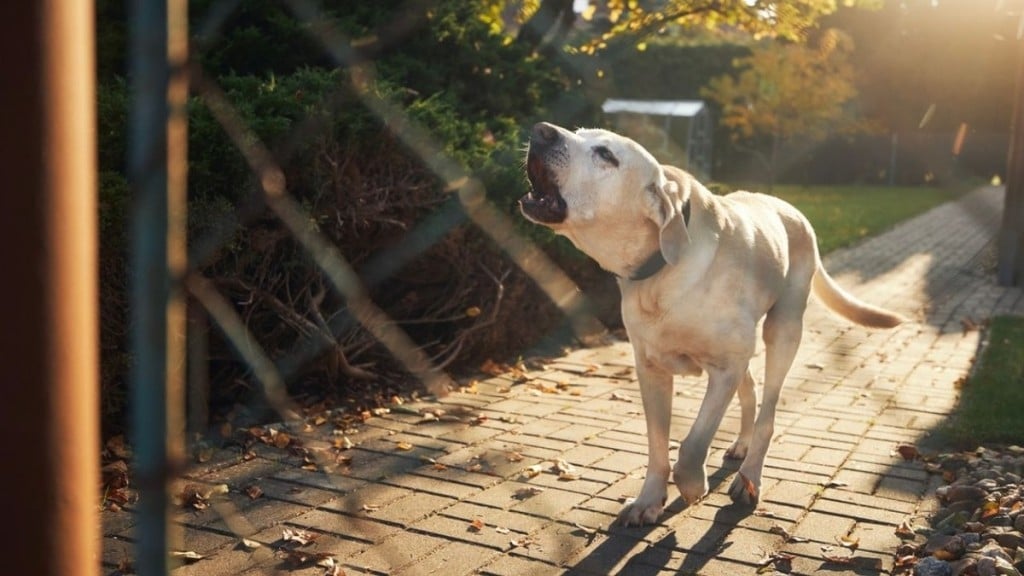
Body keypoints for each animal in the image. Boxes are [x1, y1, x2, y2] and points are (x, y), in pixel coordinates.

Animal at [516, 120, 901, 524]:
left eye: (606, 154)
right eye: (578, 132)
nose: (541, 130)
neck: (662, 271)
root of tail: (792, 210)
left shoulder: (725, 368)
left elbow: (692, 444)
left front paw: (691, 486)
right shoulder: (652, 371)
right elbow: (658, 445)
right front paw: (649, 500)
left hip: (782, 331)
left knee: (767, 413)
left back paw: (749, 478)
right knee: (750, 395)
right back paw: (741, 446)